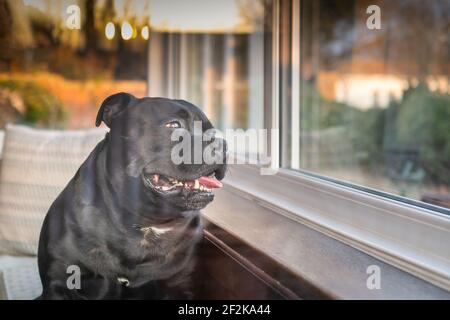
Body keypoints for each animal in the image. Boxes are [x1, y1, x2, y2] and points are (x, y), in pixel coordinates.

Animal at [37, 93, 227, 300]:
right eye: (173, 125)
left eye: (212, 130)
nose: (222, 143)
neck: (143, 223)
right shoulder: (59, 284)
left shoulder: (180, 286)